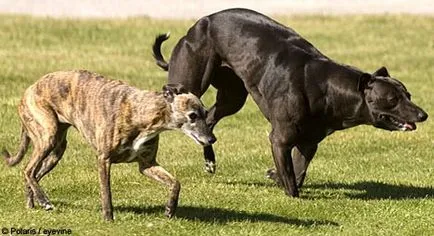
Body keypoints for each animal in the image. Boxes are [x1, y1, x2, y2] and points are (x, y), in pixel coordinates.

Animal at [153, 7, 428, 197]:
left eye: (408, 95)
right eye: (392, 99)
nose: (423, 115)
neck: (327, 87)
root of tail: (198, 24)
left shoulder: (308, 142)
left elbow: (298, 169)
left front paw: (275, 175)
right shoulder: (280, 138)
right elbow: (290, 179)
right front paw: (291, 194)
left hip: (233, 97)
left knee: (209, 120)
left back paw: (210, 161)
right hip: (192, 80)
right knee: (174, 93)